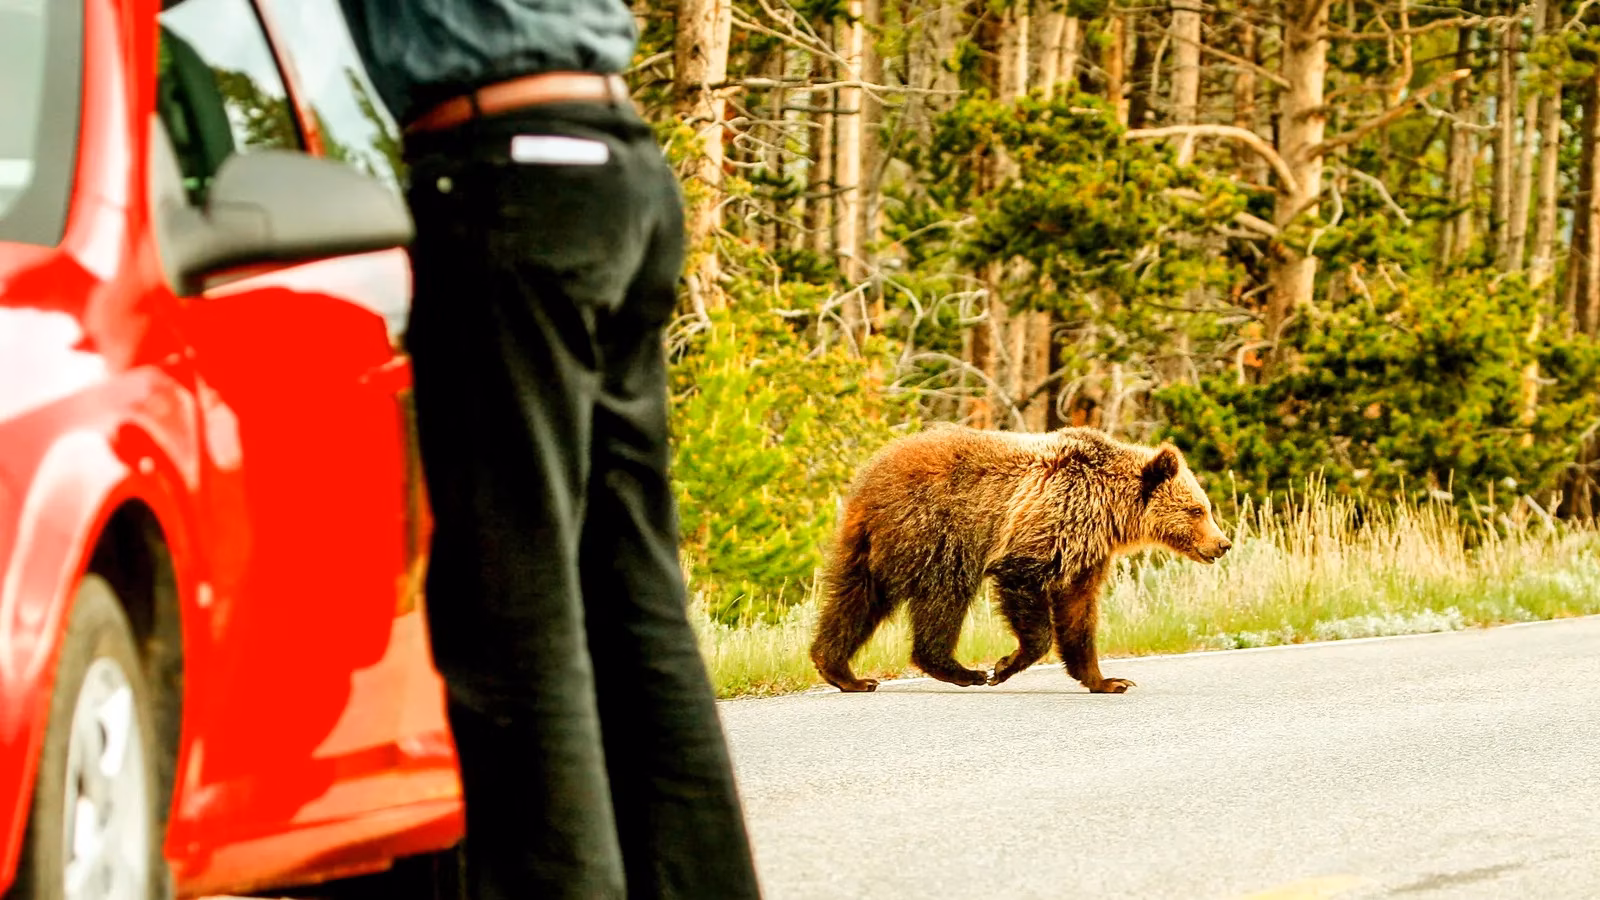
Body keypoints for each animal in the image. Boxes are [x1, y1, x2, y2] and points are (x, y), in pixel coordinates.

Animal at [809, 424, 1231, 693]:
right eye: (1197, 510)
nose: (1222, 543)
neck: (1110, 509)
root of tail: (870, 478)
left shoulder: (1087, 554)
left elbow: (1079, 613)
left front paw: (1108, 681)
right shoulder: (1049, 523)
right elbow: (1024, 585)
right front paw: (1004, 665)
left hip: (866, 546)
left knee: (854, 601)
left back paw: (844, 672)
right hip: (937, 535)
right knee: (943, 597)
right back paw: (962, 671)